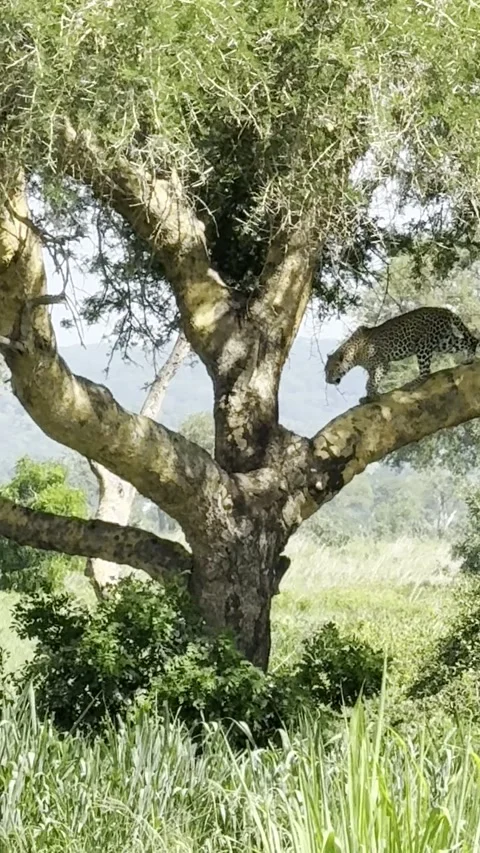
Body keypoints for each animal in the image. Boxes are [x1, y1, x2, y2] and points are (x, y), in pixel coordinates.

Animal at [325, 306, 479, 403]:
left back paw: (412, 383)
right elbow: (372, 381)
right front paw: (371, 395)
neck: (354, 355)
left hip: (423, 345)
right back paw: (469, 359)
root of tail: (443, 310)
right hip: (444, 342)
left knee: (426, 372)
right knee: (469, 341)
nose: (327, 381)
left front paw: (370, 396)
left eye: (330, 370)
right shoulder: (372, 369)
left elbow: (371, 382)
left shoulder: (382, 364)